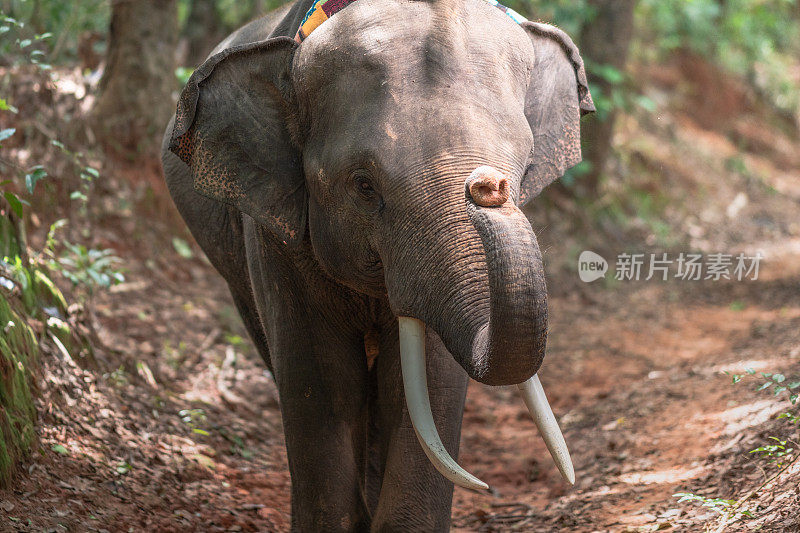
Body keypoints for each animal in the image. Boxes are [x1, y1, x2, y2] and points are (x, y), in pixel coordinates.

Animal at [159, 0, 592, 524]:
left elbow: (424, 385)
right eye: (364, 185)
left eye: (526, 167)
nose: (487, 185)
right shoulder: (274, 236)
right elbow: (321, 386)